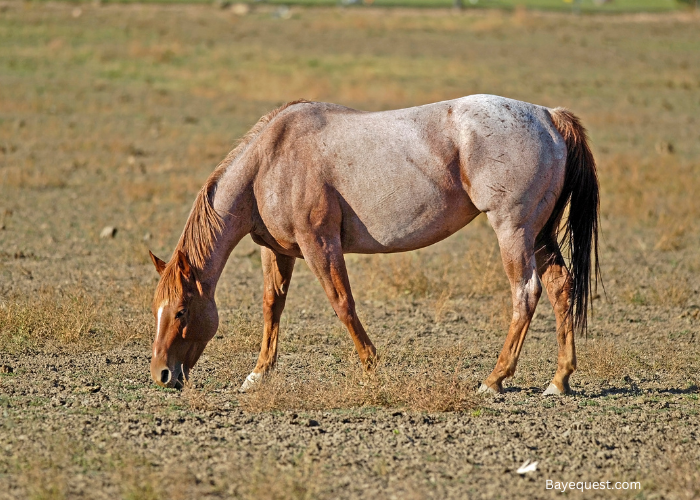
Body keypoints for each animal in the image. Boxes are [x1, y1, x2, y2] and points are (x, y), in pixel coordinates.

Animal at [150, 95, 600, 396]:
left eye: (181, 310)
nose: (161, 375)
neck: (270, 160)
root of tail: (548, 116)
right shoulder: (277, 252)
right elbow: (271, 306)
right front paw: (259, 373)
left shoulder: (320, 243)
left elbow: (342, 303)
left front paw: (371, 366)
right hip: (538, 236)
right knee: (561, 287)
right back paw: (559, 380)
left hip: (513, 231)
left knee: (526, 293)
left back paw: (494, 379)